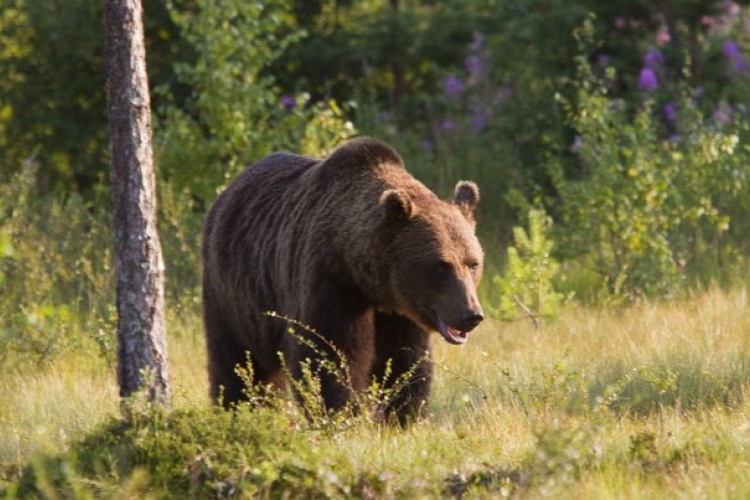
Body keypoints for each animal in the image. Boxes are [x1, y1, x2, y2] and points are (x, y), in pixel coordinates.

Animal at [203, 136, 484, 422]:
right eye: (441, 266)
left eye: (473, 263)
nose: (471, 314)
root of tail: (227, 191)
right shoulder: (331, 282)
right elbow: (329, 356)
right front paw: (342, 413)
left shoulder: (400, 311)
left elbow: (404, 359)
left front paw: (404, 414)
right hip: (233, 293)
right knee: (236, 359)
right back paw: (236, 408)